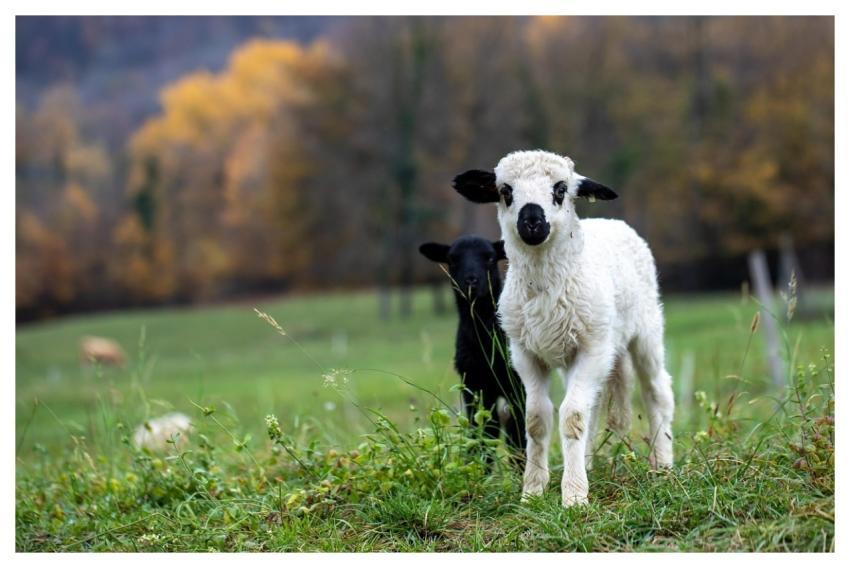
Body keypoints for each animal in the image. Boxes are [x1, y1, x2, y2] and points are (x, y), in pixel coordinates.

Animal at [419, 236, 526, 463]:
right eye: (452, 259)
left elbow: (518, 434)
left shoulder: (517, 385)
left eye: (491, 258)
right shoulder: (474, 385)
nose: (471, 281)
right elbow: (481, 433)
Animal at [452, 150, 674, 507]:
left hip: (645, 330)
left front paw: (573, 496)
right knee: (593, 408)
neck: (545, 287)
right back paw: (588, 465)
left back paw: (663, 465)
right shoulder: (525, 354)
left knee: (657, 392)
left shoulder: (592, 348)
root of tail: (610, 221)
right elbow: (536, 419)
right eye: (505, 191)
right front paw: (533, 491)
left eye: (560, 189)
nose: (531, 222)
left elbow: (571, 417)